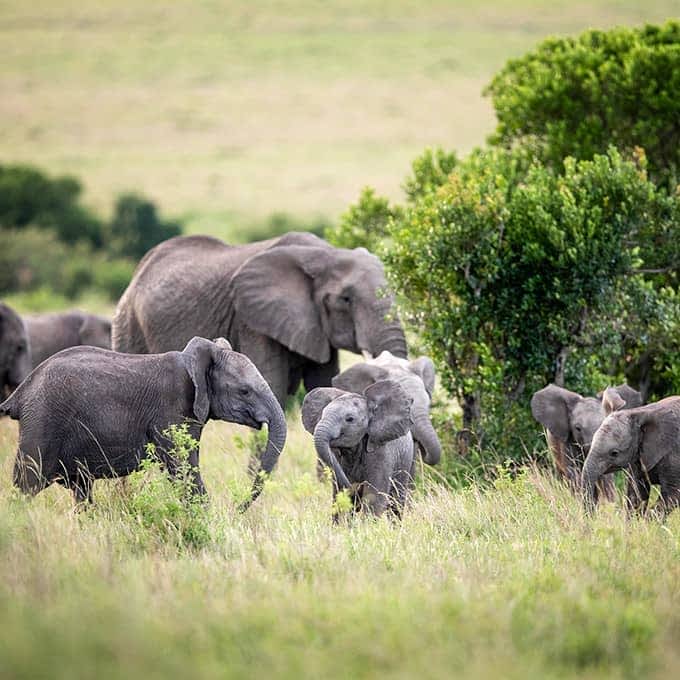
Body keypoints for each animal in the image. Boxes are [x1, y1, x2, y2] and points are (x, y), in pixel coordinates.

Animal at [0, 338, 286, 508]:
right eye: (245, 391)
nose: (237, 508)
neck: (193, 362)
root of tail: (20, 394)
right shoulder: (172, 410)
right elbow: (183, 468)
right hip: (43, 422)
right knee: (26, 484)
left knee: (81, 491)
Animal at [113, 232, 406, 404]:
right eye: (346, 299)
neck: (326, 254)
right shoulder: (253, 322)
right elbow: (270, 387)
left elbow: (322, 387)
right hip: (129, 327)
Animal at [302, 380, 414, 516]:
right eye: (322, 415)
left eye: (349, 419)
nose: (354, 486)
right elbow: (339, 496)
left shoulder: (382, 453)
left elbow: (373, 496)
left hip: (405, 462)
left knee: (396, 502)